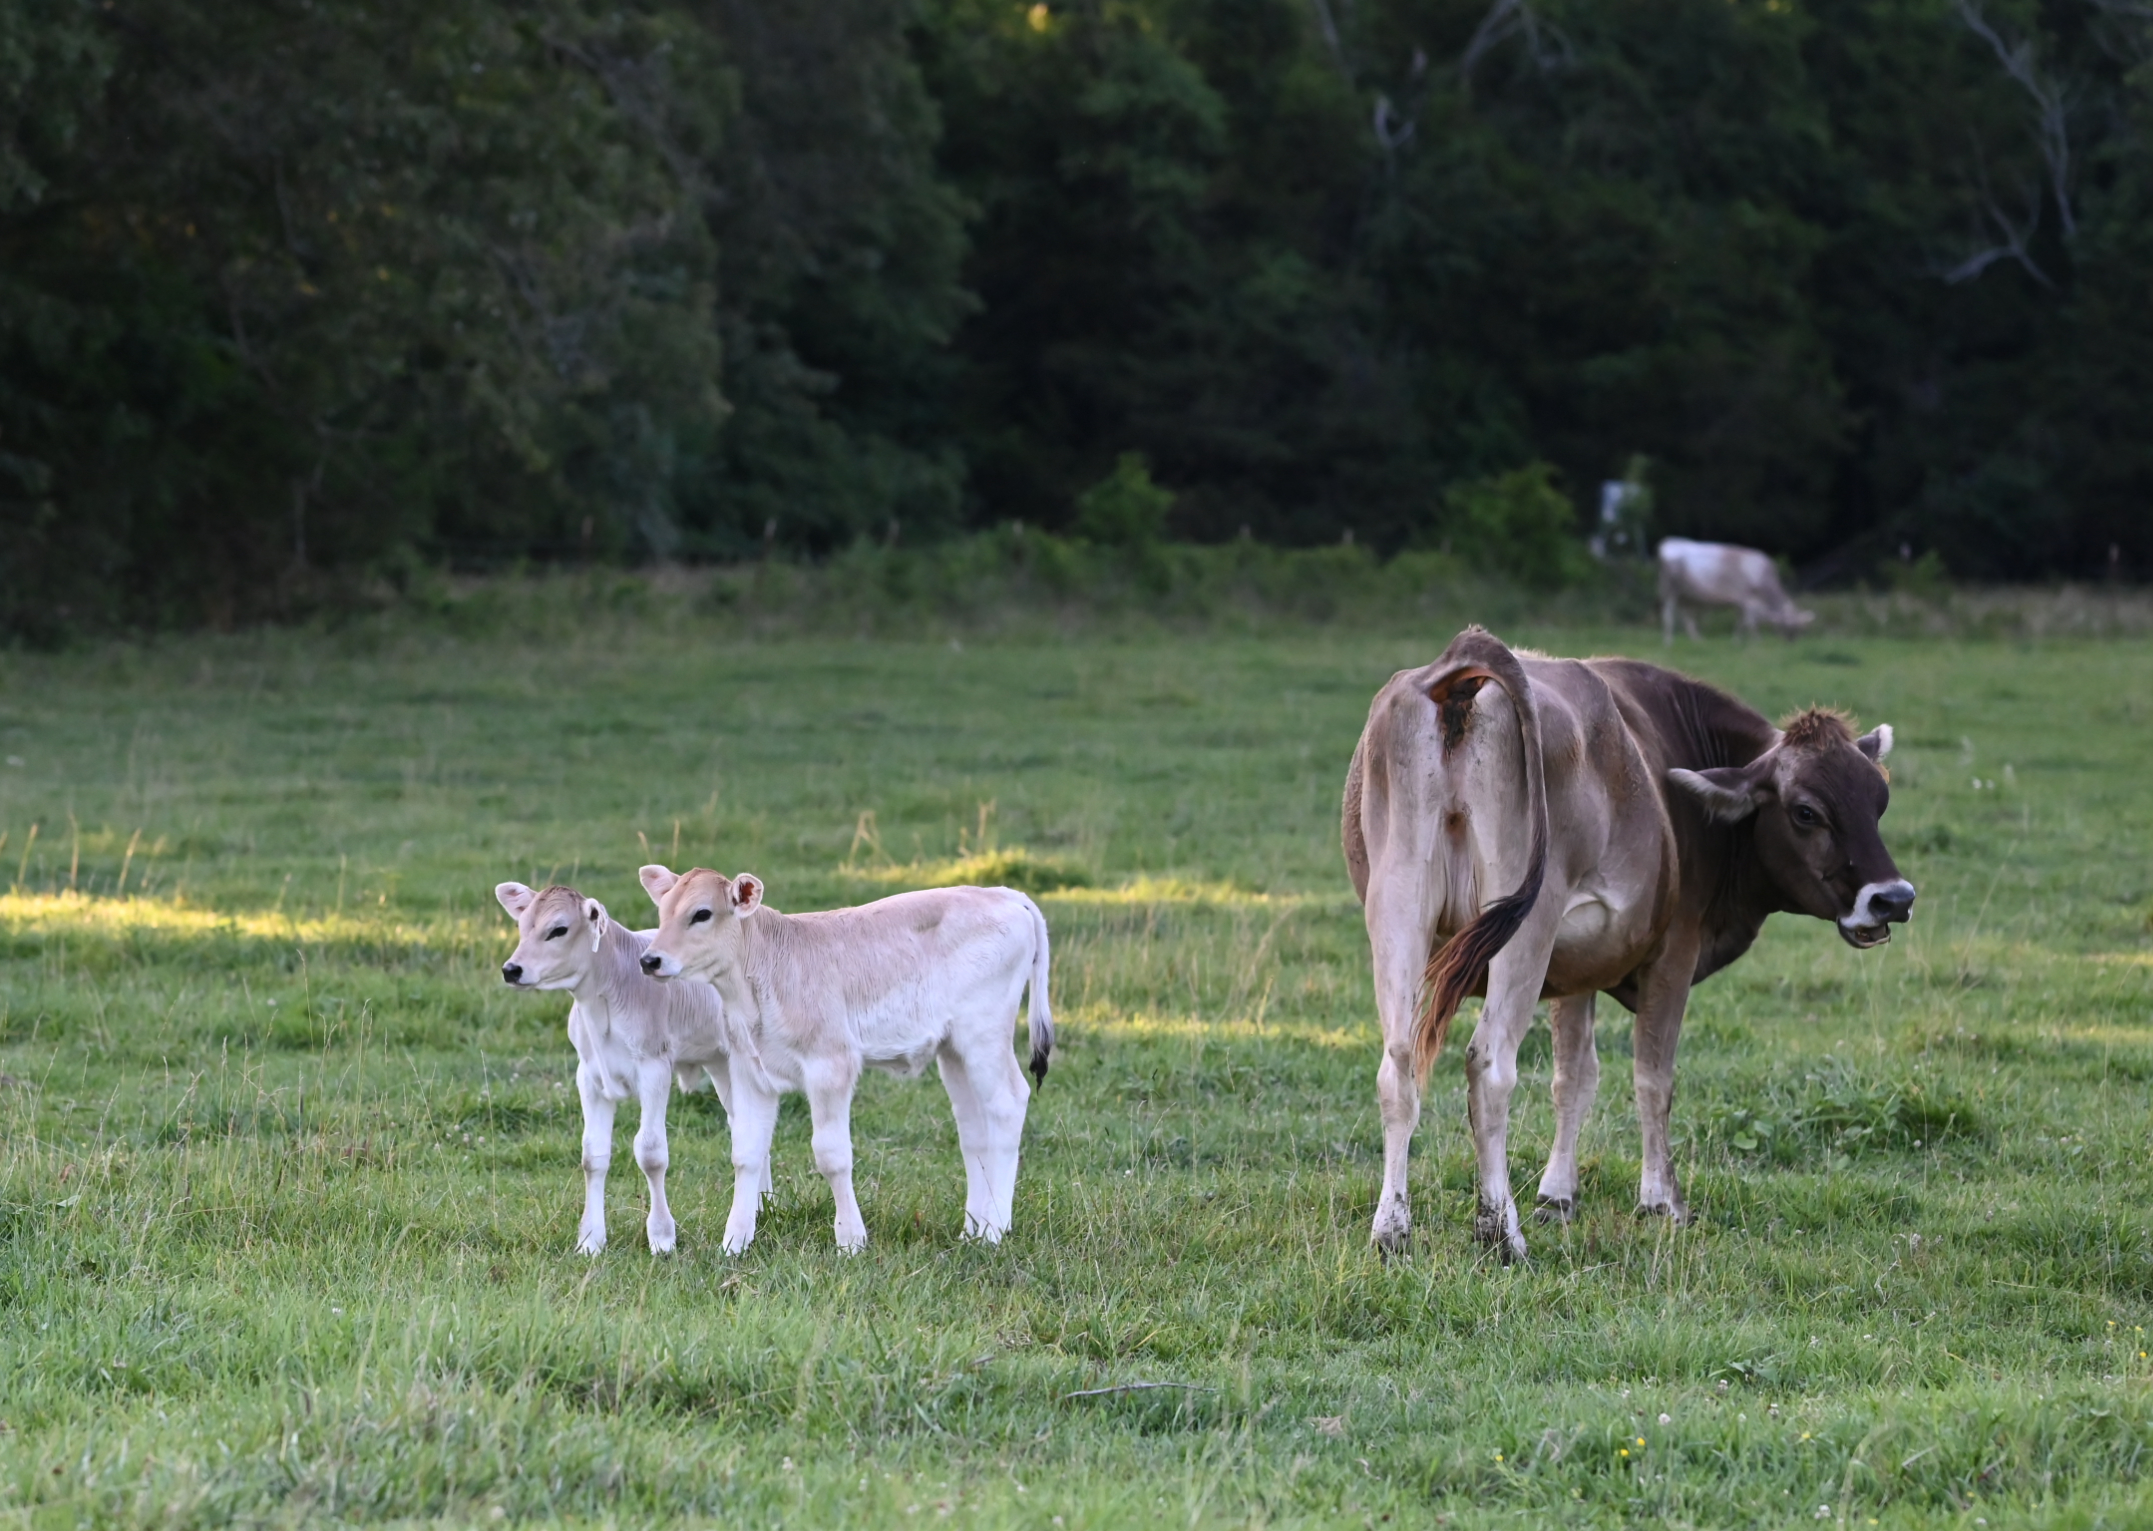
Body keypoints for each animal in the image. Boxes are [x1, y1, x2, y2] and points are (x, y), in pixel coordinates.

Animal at [495, 881, 762, 1256]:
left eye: (558, 929)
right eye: (522, 926)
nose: (511, 969)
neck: (603, 1001)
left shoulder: (654, 1067)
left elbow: (651, 1153)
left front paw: (662, 1237)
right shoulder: (589, 1076)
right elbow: (592, 1155)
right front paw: (590, 1239)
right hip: (719, 1064)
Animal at [636, 866, 1054, 1253]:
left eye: (702, 913)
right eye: (663, 912)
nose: (649, 960)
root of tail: (1003, 893)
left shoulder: (830, 1063)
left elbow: (831, 1155)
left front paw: (850, 1240)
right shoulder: (749, 1069)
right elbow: (746, 1153)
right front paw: (734, 1242)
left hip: (985, 1032)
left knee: (1008, 1104)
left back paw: (995, 1229)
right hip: (954, 1050)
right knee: (974, 1131)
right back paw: (972, 1230)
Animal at [1341, 626, 1913, 1261]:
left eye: (1880, 801)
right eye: (1806, 811)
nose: (1893, 898)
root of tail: (1468, 658)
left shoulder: (1574, 970)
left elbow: (1573, 1078)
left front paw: (1557, 1195)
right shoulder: (1674, 952)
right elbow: (1653, 1077)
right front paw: (1662, 1200)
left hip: (1399, 905)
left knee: (1398, 1065)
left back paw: (1392, 1229)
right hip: (1524, 926)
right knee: (1489, 1066)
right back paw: (1500, 1233)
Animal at [1657, 537, 1815, 642]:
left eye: (1799, 629)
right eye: (1789, 627)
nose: (1792, 642)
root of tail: (1670, 542)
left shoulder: (1741, 602)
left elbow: (1741, 622)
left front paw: (1736, 640)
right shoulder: (1747, 599)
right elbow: (1750, 623)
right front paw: (1755, 641)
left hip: (1686, 594)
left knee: (1687, 616)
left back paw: (1697, 640)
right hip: (1669, 589)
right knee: (1668, 614)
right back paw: (1668, 641)